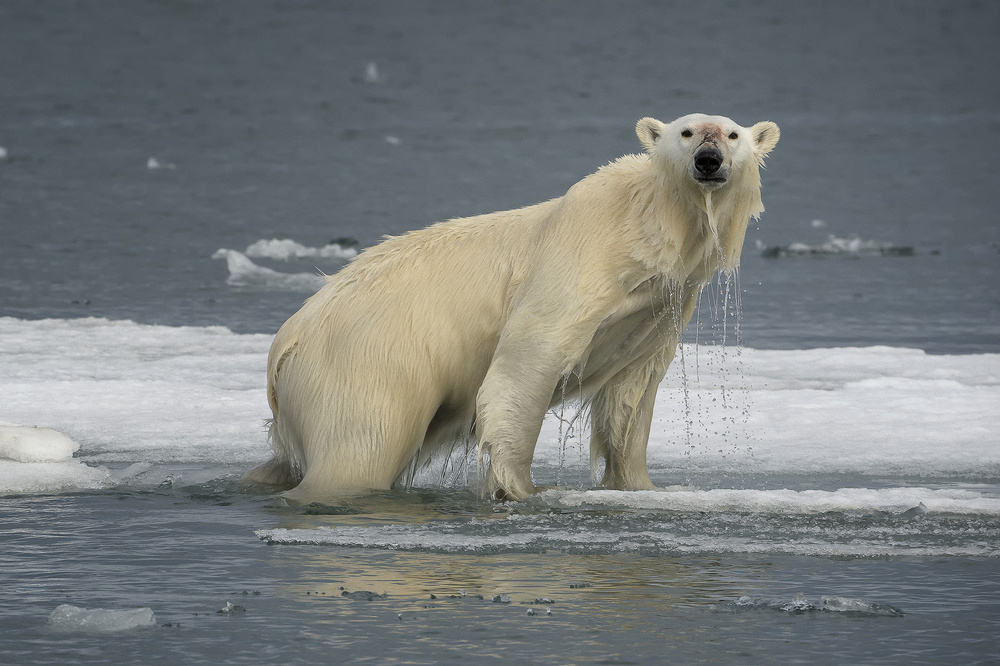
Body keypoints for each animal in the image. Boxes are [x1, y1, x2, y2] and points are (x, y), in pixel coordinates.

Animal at [246, 113, 776, 498]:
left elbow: (632, 391)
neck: (646, 225)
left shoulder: (661, 304)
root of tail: (286, 344)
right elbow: (528, 359)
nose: (708, 160)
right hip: (367, 364)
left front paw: (638, 486)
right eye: (687, 131)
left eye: (731, 133)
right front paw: (520, 489)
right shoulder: (579, 261)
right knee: (358, 452)